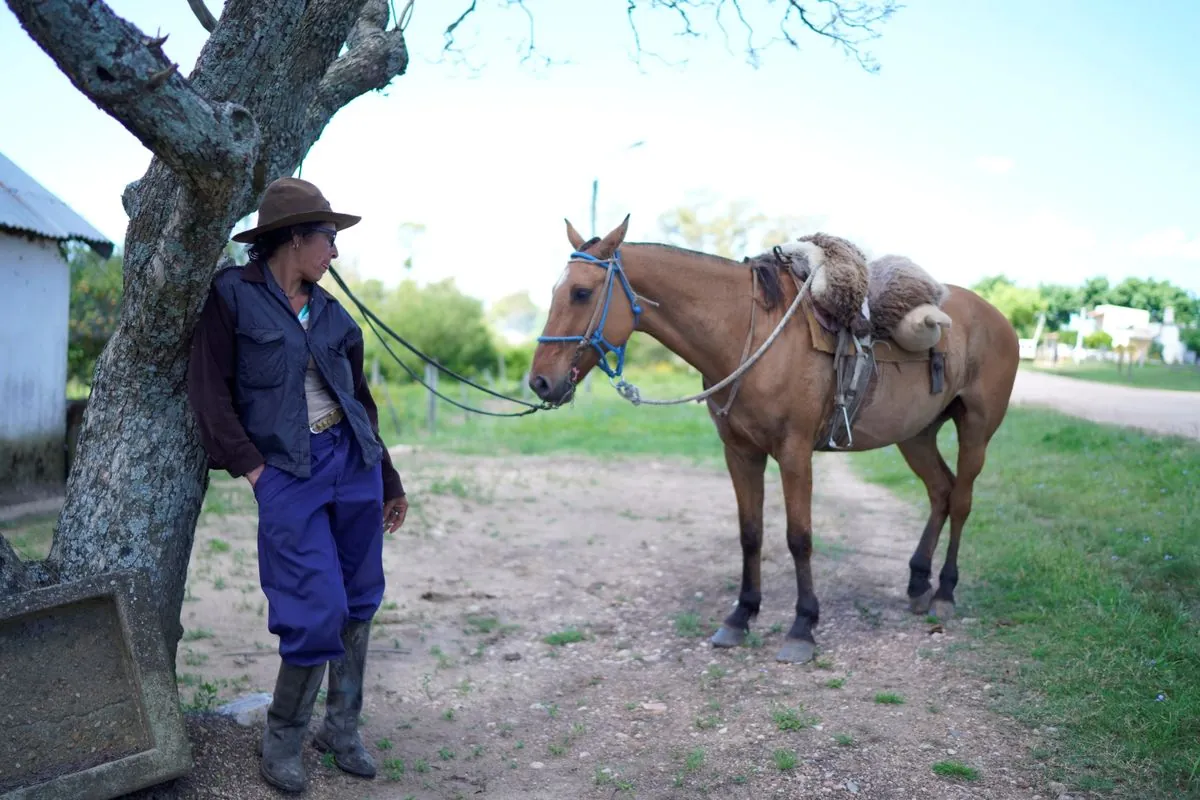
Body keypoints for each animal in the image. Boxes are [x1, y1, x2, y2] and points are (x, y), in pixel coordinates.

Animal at [530, 215, 1017, 666]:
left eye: (581, 293)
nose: (539, 382)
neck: (749, 335)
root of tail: (997, 318)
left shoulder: (794, 452)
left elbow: (798, 537)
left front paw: (803, 627)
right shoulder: (740, 453)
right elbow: (751, 533)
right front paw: (740, 617)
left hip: (976, 430)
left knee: (961, 500)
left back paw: (944, 593)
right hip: (916, 434)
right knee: (940, 491)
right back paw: (918, 582)